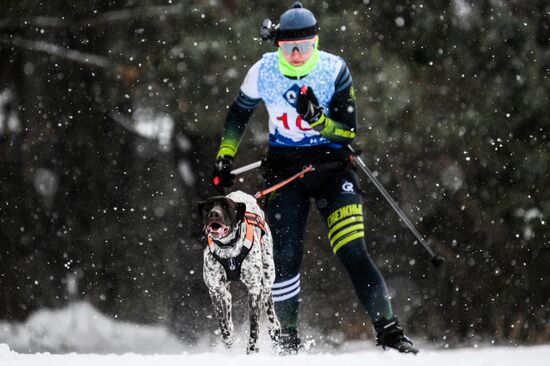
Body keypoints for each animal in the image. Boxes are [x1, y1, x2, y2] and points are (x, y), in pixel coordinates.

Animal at [199, 190, 282, 354]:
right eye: (208, 206)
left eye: (226, 206)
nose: (214, 214)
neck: (228, 249)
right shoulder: (214, 289)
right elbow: (222, 322)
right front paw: (228, 337)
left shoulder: (254, 289)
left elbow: (254, 324)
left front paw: (252, 348)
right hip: (223, 289)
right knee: (228, 299)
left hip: (268, 274)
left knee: (268, 300)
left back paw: (274, 327)